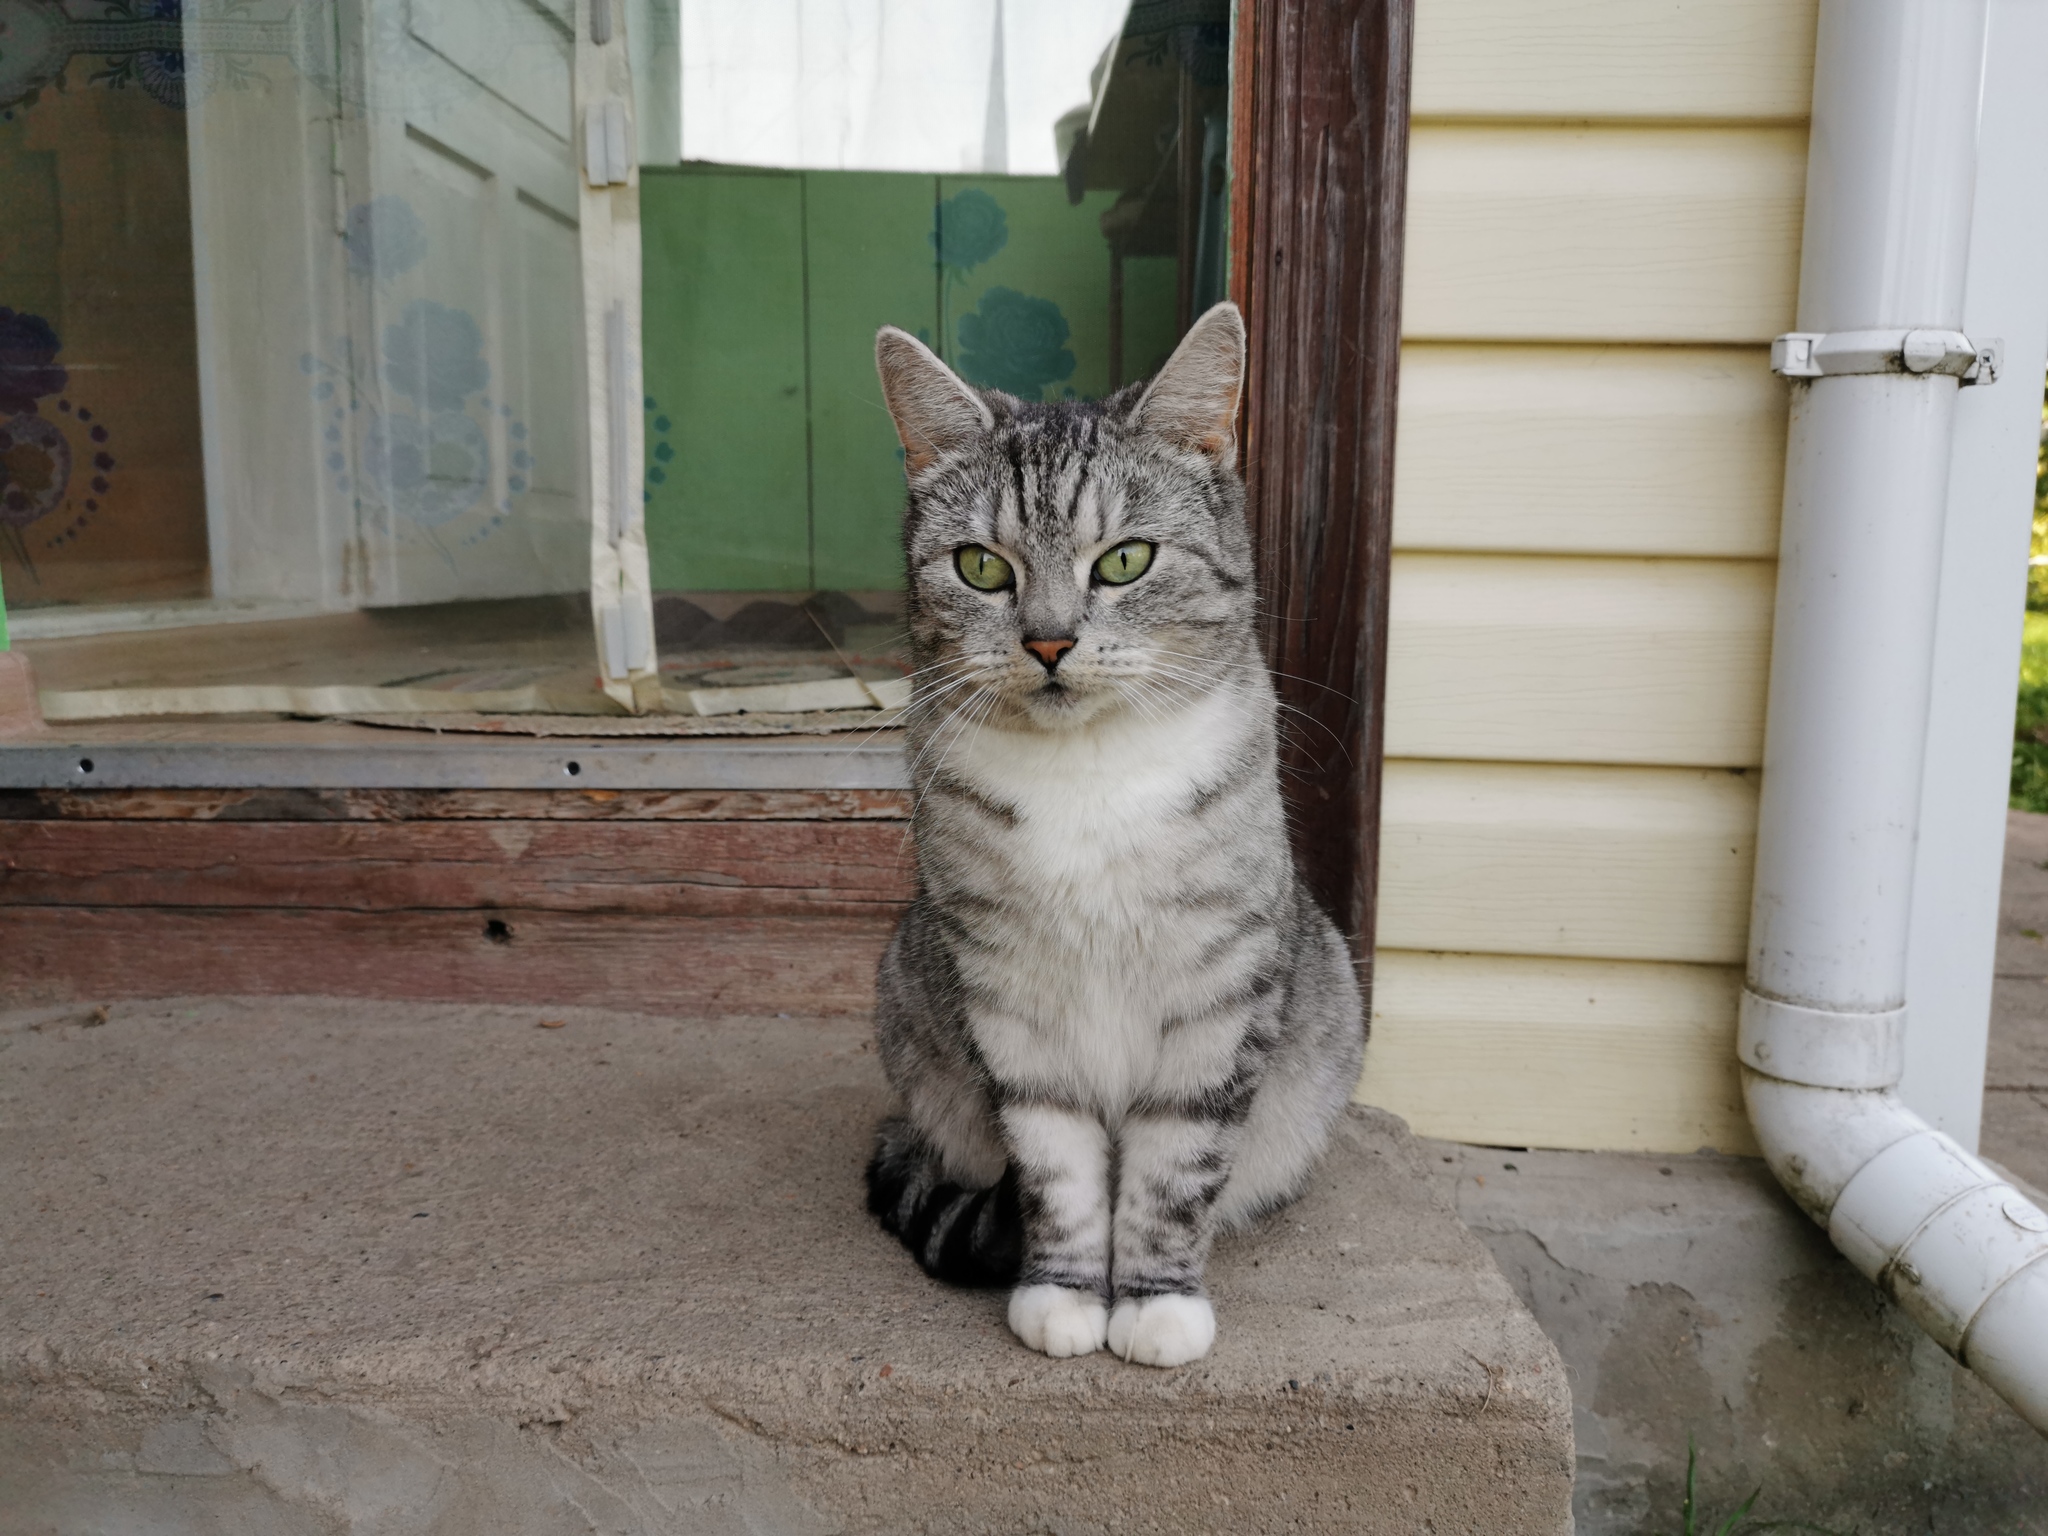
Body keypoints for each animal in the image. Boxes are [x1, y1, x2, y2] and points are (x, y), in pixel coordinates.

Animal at [856, 303, 1368, 1368]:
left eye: (1125, 559)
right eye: (981, 567)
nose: (1049, 641)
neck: (1086, 777)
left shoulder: (1218, 991)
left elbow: (1175, 1166)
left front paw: (1156, 1305)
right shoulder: (1007, 993)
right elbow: (1056, 1166)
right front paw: (1062, 1295)